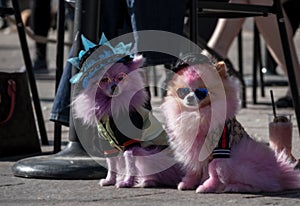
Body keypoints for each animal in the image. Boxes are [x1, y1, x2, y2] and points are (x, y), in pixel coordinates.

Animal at [162, 54, 300, 193]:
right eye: (183, 91)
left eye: (201, 92)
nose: (190, 97)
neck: (197, 114)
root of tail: (279, 174)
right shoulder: (191, 149)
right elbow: (193, 169)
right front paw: (187, 183)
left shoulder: (220, 149)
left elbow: (214, 170)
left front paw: (207, 187)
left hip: (243, 164)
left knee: (257, 184)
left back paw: (234, 186)